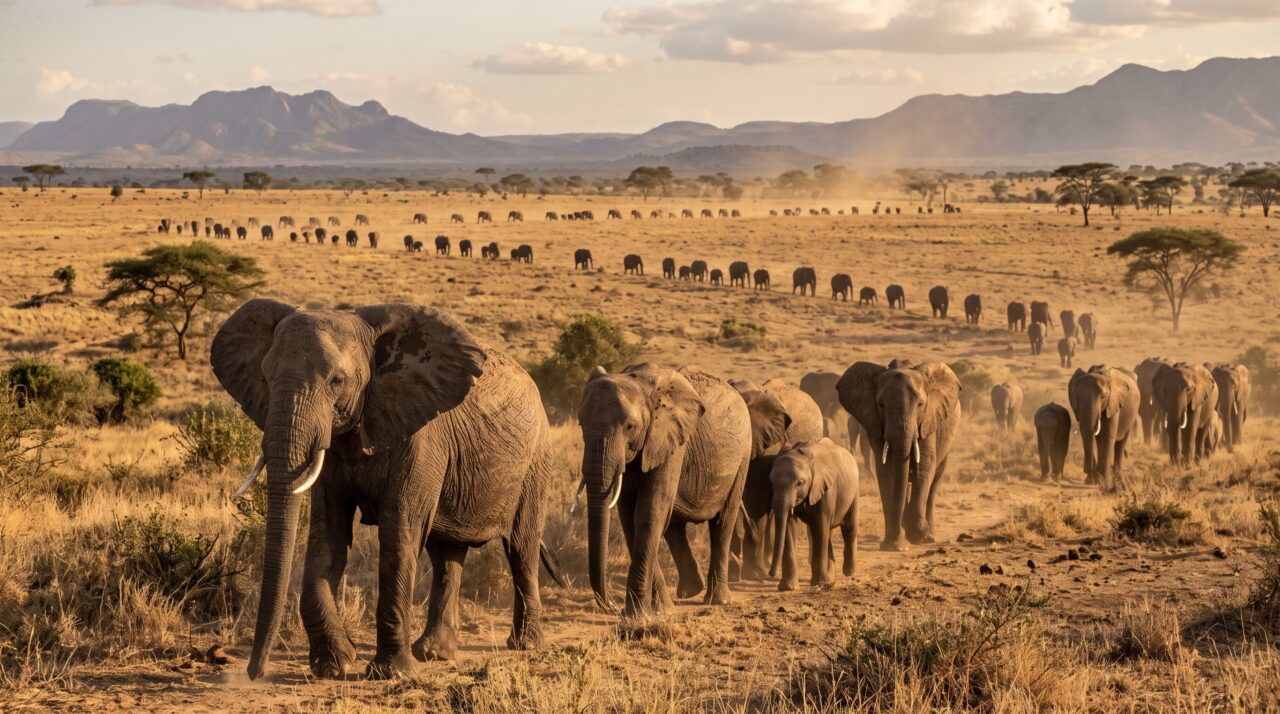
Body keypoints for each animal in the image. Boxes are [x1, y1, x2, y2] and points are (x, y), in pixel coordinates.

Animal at [211, 300, 555, 680]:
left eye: (336, 381)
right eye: (266, 377)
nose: (253, 674)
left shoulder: (421, 438)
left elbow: (399, 532)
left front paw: (390, 673)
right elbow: (327, 537)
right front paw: (335, 664)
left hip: (536, 461)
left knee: (521, 547)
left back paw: (524, 645)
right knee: (446, 554)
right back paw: (433, 652)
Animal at [578, 364, 752, 618]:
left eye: (630, 427)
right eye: (581, 425)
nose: (610, 606)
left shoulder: (670, 442)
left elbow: (649, 513)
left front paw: (636, 615)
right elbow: (630, 519)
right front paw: (660, 610)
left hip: (743, 455)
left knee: (722, 523)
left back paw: (717, 600)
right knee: (674, 526)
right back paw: (690, 591)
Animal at [768, 439, 859, 592]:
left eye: (800, 483)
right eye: (772, 482)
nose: (771, 574)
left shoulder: (826, 488)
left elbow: (820, 527)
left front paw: (820, 584)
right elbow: (789, 525)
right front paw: (788, 587)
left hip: (853, 492)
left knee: (848, 528)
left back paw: (849, 572)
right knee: (827, 533)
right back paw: (831, 578)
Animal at [837, 360, 961, 550]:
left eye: (920, 405)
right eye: (880, 405)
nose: (900, 542)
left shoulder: (928, 421)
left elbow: (924, 467)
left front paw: (916, 536)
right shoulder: (875, 423)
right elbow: (886, 471)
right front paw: (894, 544)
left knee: (934, 481)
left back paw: (928, 536)